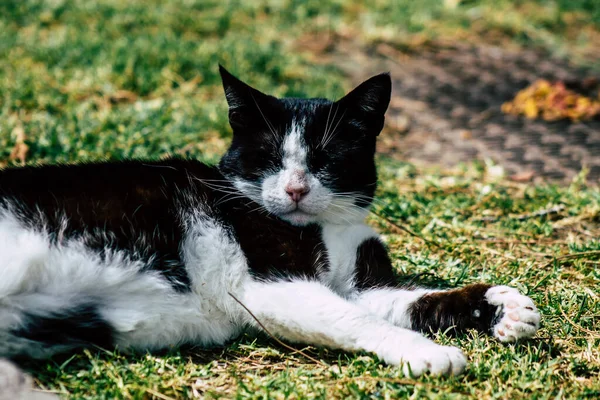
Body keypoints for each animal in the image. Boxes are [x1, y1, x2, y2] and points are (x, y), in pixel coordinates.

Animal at [0, 65, 540, 376]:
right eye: (270, 157)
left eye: (325, 158)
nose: (296, 188)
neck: (330, 227)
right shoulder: (269, 284)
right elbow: (352, 315)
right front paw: (424, 352)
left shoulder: (360, 283)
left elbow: (403, 300)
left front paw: (499, 306)